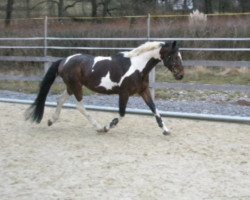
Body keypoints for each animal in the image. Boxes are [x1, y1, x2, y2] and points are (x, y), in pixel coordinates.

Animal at [24, 40, 184, 135]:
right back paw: (99, 127)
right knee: (80, 106)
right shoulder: (124, 93)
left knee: (60, 100)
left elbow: (154, 109)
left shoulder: (143, 91)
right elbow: (121, 113)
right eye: (175, 57)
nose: (181, 75)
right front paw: (108, 126)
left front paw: (166, 130)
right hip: (76, 86)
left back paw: (51, 121)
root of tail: (64, 60)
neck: (137, 67)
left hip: (71, 86)